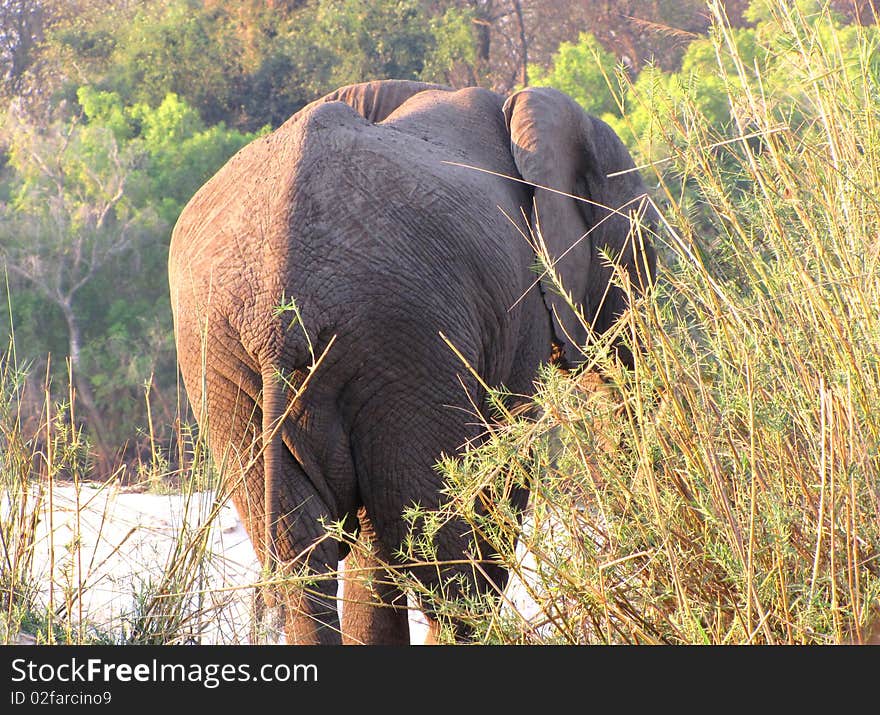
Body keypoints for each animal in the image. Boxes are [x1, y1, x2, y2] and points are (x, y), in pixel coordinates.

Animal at [168, 79, 656, 648]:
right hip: (403, 340)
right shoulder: (513, 314)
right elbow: (501, 473)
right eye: (641, 245)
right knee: (436, 560)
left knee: (309, 559)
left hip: (226, 360)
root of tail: (279, 305)